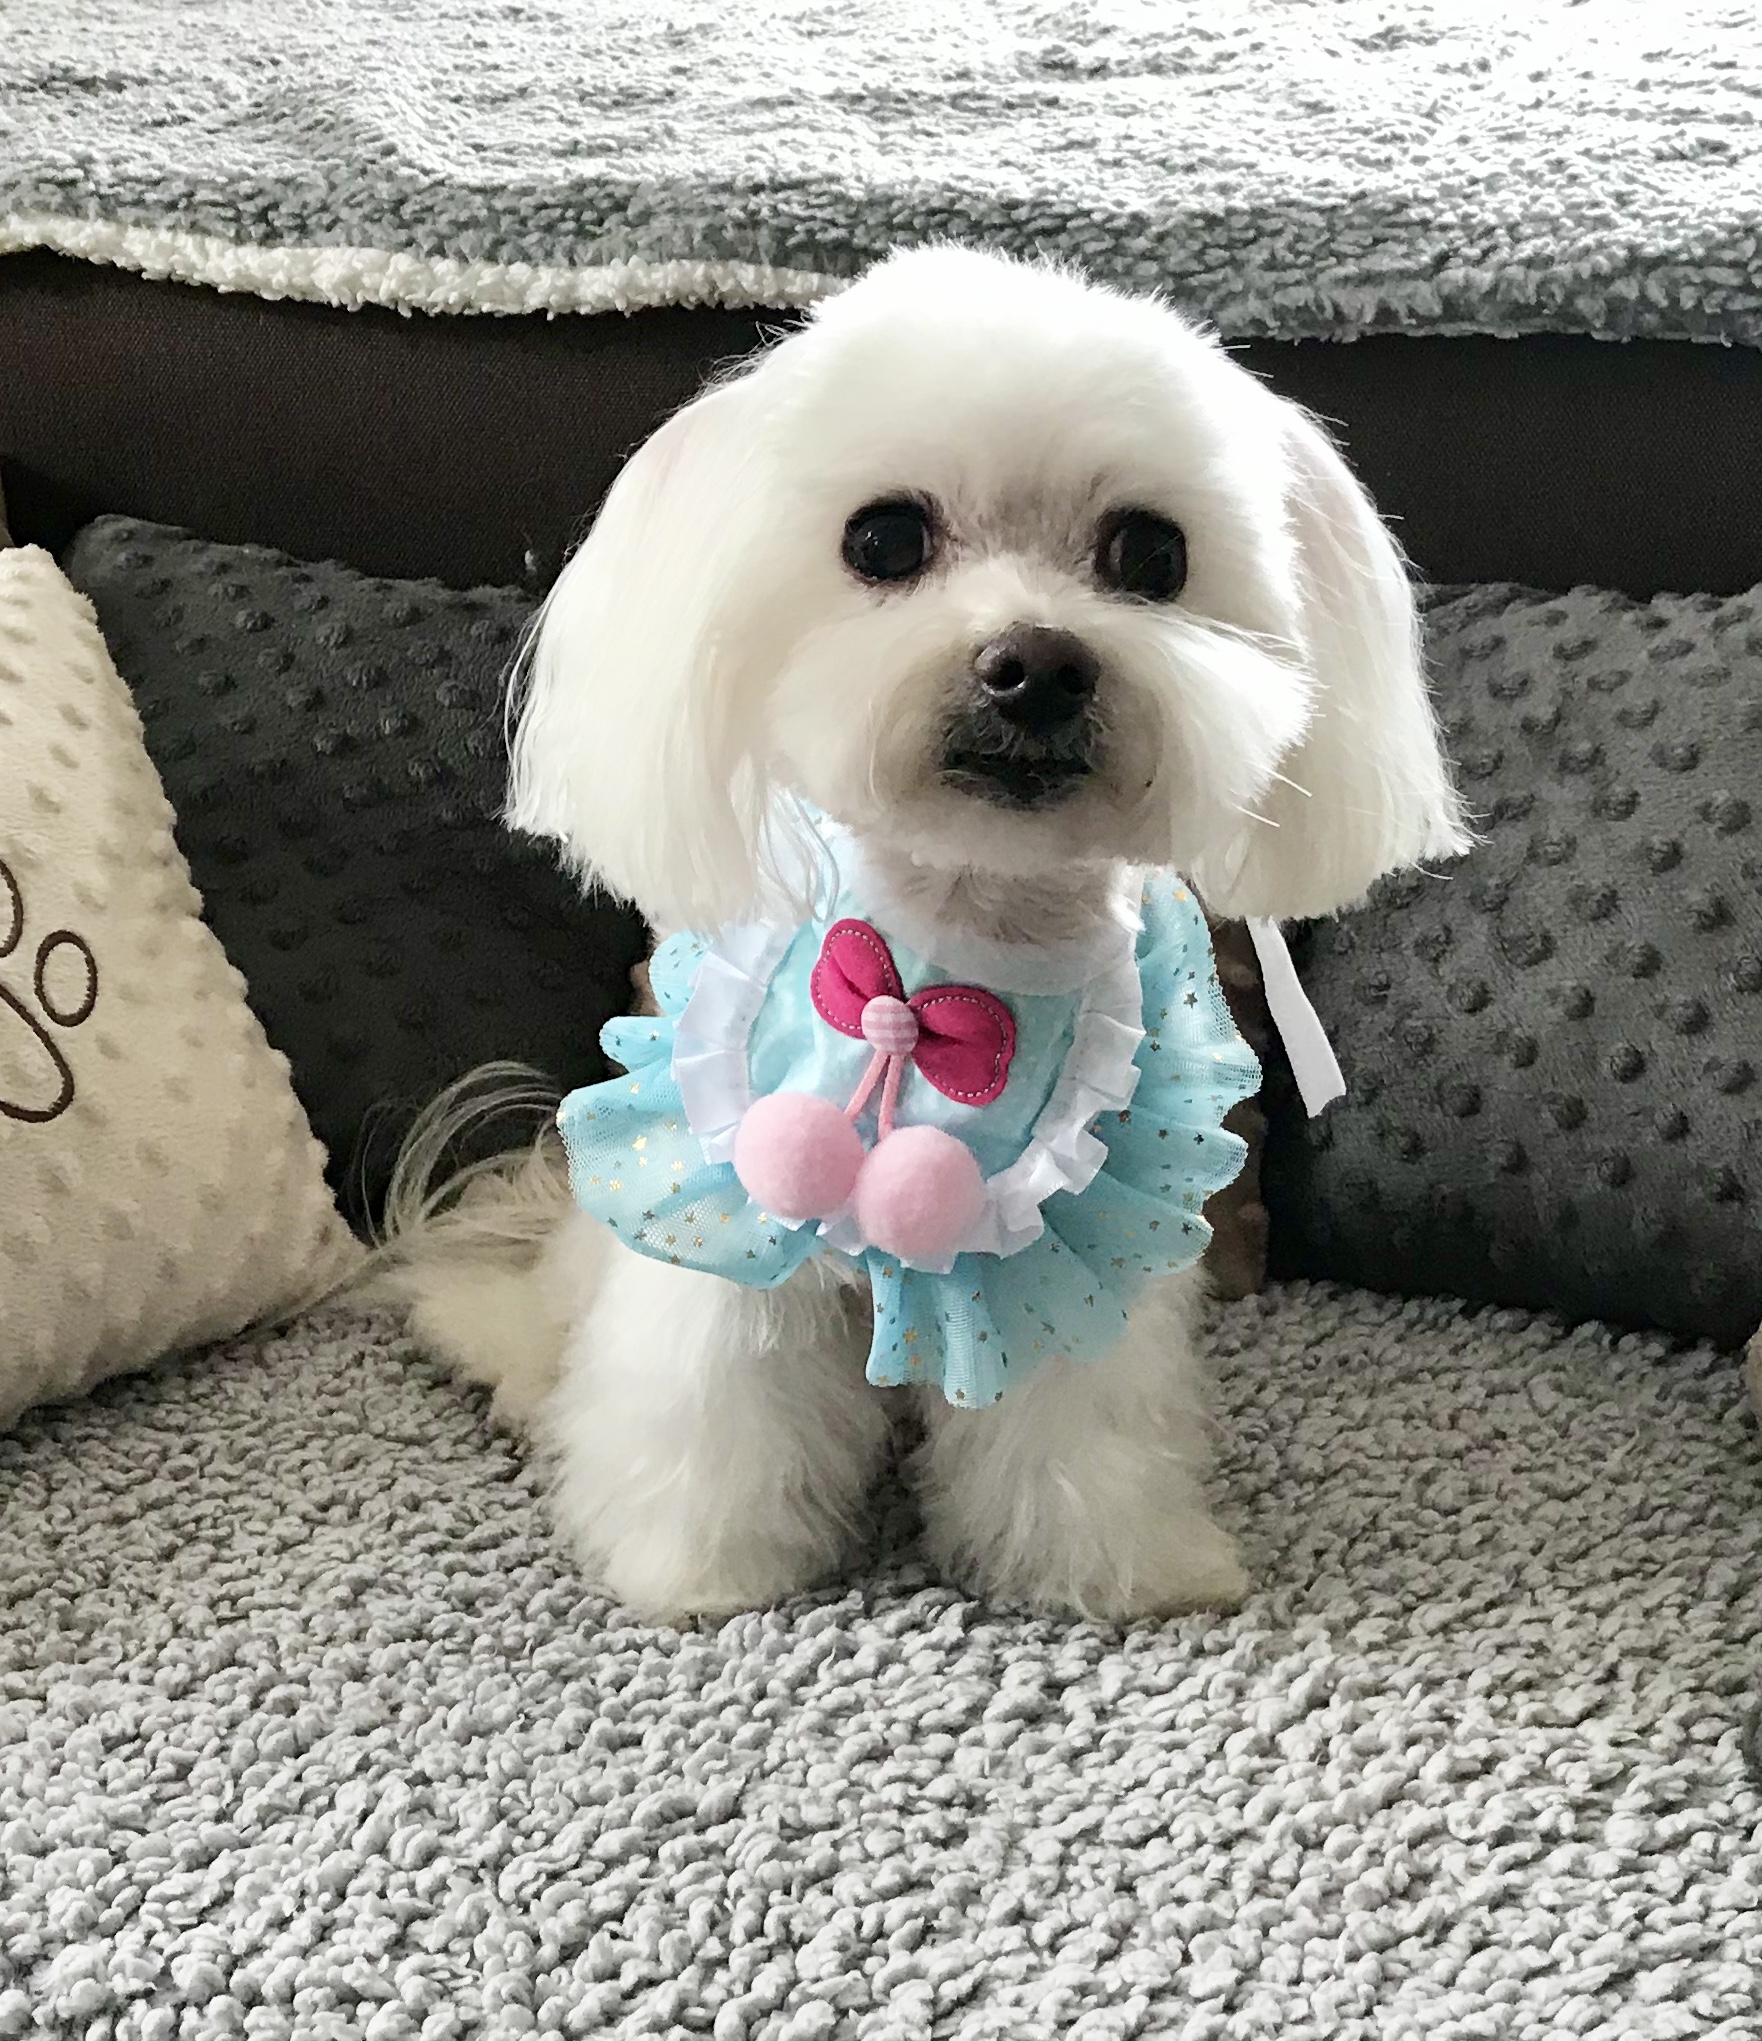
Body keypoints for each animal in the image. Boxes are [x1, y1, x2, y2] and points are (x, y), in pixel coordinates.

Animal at [384, 245, 1465, 1622]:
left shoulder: (1077, 1242)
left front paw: (1119, 1567)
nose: (1038, 664)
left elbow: (1075, 1429)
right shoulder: (734, 1238)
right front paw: (696, 1571)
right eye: (885, 538)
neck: (957, 950)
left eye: (1151, 553)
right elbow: (717, 1409)